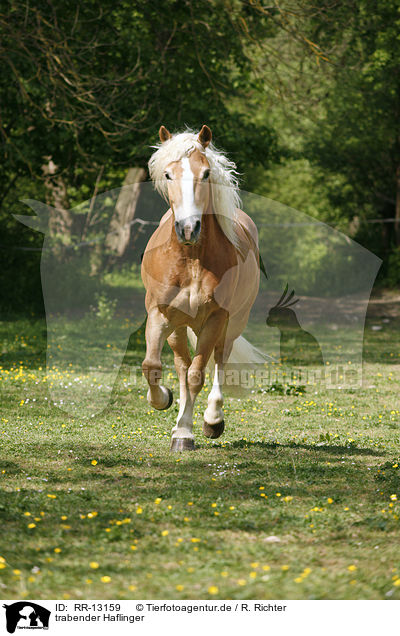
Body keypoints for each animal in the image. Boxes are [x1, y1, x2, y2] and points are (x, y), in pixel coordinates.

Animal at [142, 124, 264, 450]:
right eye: (168, 174)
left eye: (206, 173)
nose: (188, 229)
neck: (191, 260)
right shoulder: (159, 314)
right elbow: (152, 366)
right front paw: (164, 402)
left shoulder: (214, 318)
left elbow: (199, 374)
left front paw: (188, 432)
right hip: (179, 327)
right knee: (181, 365)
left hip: (232, 322)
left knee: (219, 360)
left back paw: (212, 420)